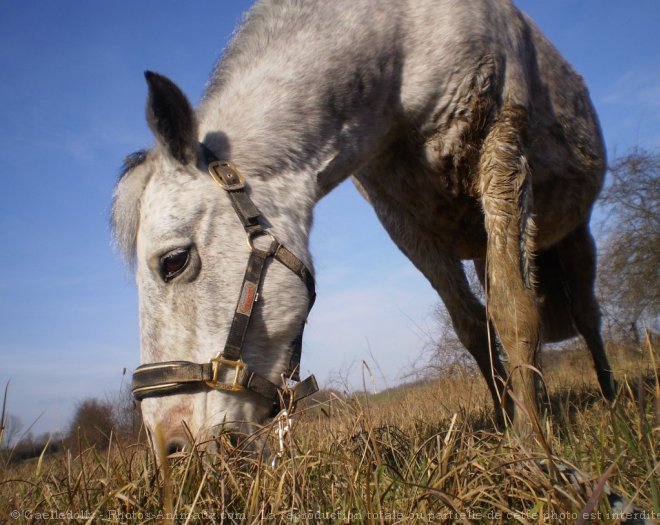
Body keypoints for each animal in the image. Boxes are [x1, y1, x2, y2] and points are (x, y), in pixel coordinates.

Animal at [112, 0, 612, 450]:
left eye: (174, 261)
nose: (171, 447)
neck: (401, 41)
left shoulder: (502, 150)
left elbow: (514, 310)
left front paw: (531, 444)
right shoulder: (403, 221)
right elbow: (473, 328)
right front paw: (508, 421)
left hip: (574, 236)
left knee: (587, 317)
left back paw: (608, 400)